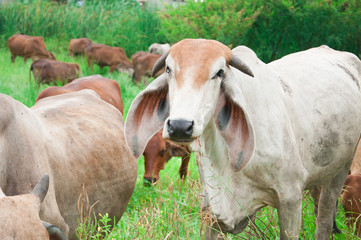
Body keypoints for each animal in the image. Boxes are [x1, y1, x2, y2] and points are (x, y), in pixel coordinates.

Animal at [124, 38, 360, 239]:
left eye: (219, 72)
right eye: (168, 69)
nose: (180, 126)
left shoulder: (291, 198)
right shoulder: (211, 209)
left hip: (339, 171)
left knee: (324, 220)